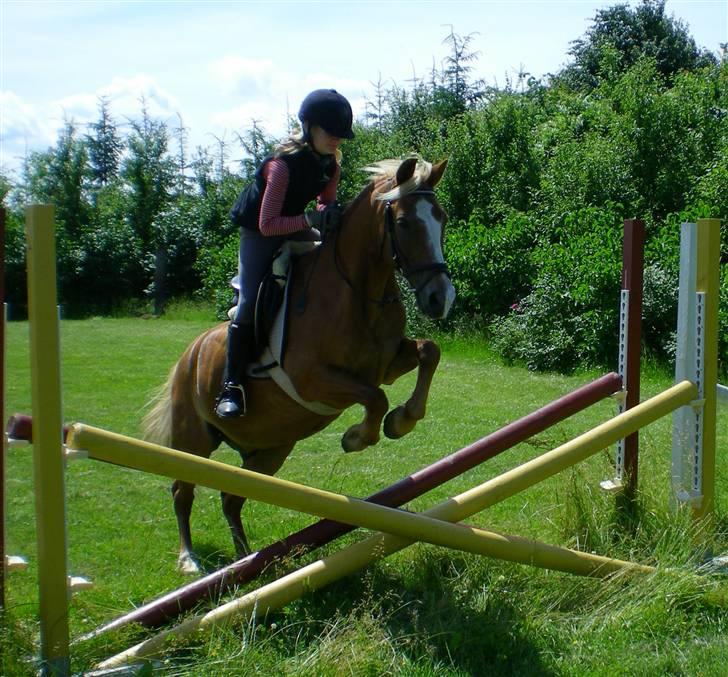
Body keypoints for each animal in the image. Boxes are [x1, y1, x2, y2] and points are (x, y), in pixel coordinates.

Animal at [142, 154, 456, 572]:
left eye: (441, 218)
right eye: (404, 222)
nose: (441, 298)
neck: (358, 290)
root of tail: (188, 355)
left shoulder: (385, 366)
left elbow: (428, 352)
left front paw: (401, 421)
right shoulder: (313, 380)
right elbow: (375, 398)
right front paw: (357, 437)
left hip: (270, 449)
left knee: (231, 497)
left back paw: (245, 562)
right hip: (192, 440)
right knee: (182, 490)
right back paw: (190, 560)